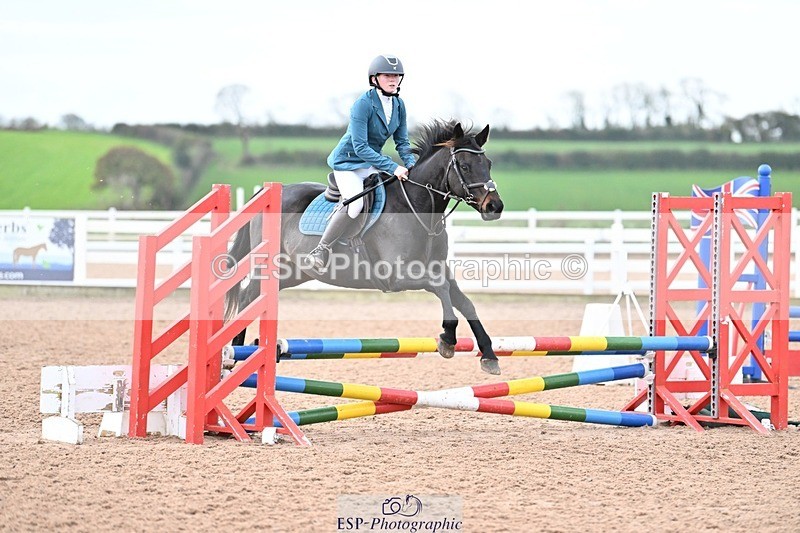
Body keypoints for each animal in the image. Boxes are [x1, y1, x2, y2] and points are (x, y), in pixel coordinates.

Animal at [224, 120, 506, 374]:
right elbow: (441, 287)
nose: (495, 206)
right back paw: (231, 358)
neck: (417, 207)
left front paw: (489, 356)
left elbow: (465, 302)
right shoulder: (397, 275)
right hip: (270, 267)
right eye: (465, 166)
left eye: (489, 164)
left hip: (292, 272)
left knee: (253, 296)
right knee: (248, 297)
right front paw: (447, 337)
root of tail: (270, 191)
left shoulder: (438, 269)